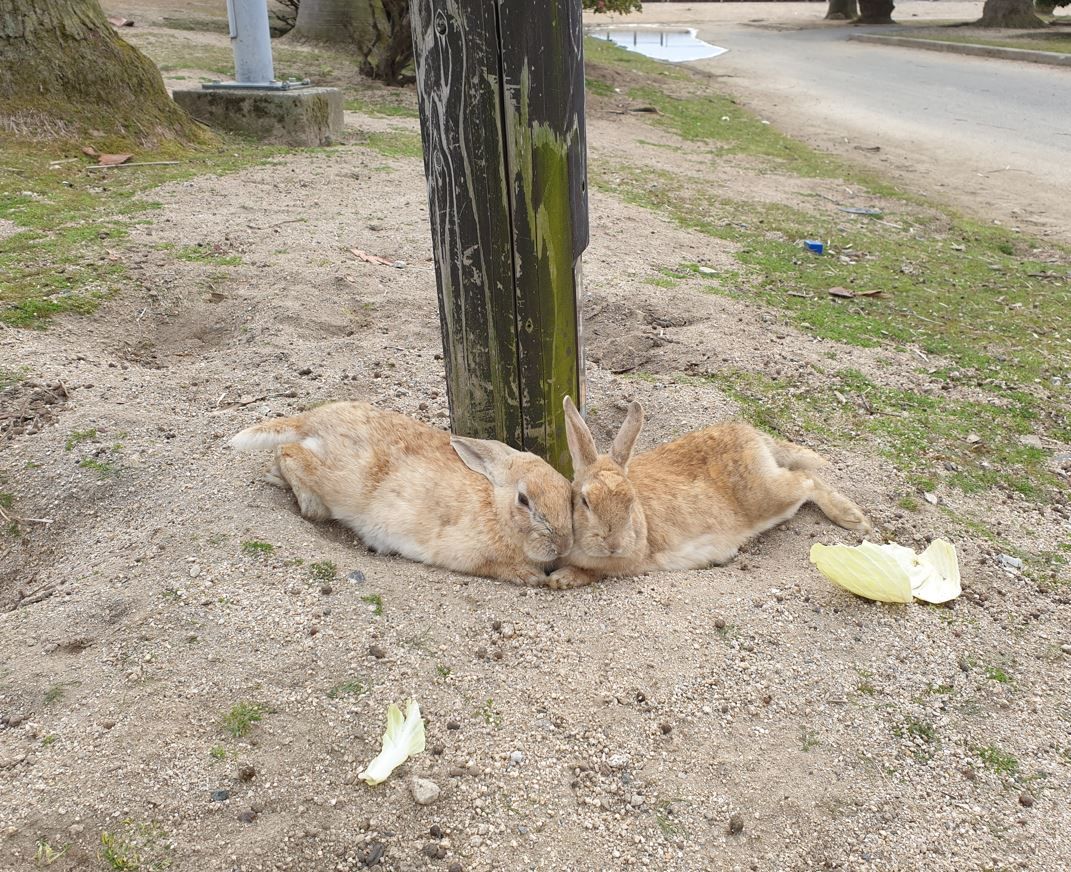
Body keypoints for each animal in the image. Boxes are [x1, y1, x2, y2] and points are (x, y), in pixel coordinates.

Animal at [229, 402, 574, 586]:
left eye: (569, 495)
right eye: (524, 500)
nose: (563, 545)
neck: (495, 508)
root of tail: (315, 419)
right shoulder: (465, 554)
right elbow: (492, 566)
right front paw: (530, 576)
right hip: (339, 479)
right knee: (287, 452)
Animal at [548, 397, 871, 589]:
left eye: (630, 503)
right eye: (584, 501)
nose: (613, 544)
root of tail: (752, 435)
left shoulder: (629, 562)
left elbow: (597, 571)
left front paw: (562, 579)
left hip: (769, 496)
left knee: (806, 479)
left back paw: (853, 518)